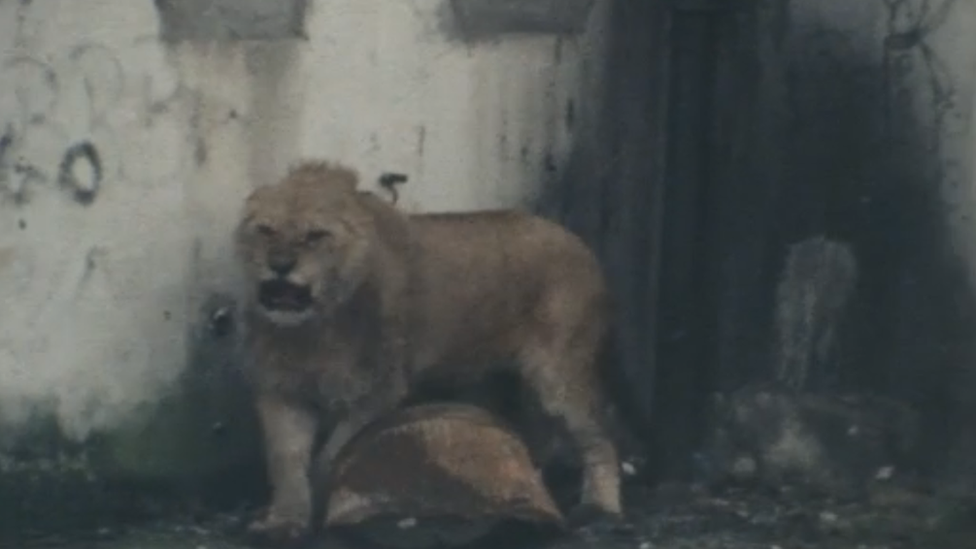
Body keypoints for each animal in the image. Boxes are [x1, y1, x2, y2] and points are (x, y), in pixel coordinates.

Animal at [233, 158, 620, 544]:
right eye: (265, 230)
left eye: (316, 235)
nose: (280, 264)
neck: (310, 329)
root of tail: (579, 243)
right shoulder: (282, 391)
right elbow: (285, 461)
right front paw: (286, 520)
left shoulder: (379, 391)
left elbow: (331, 454)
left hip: (560, 376)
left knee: (601, 442)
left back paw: (599, 508)